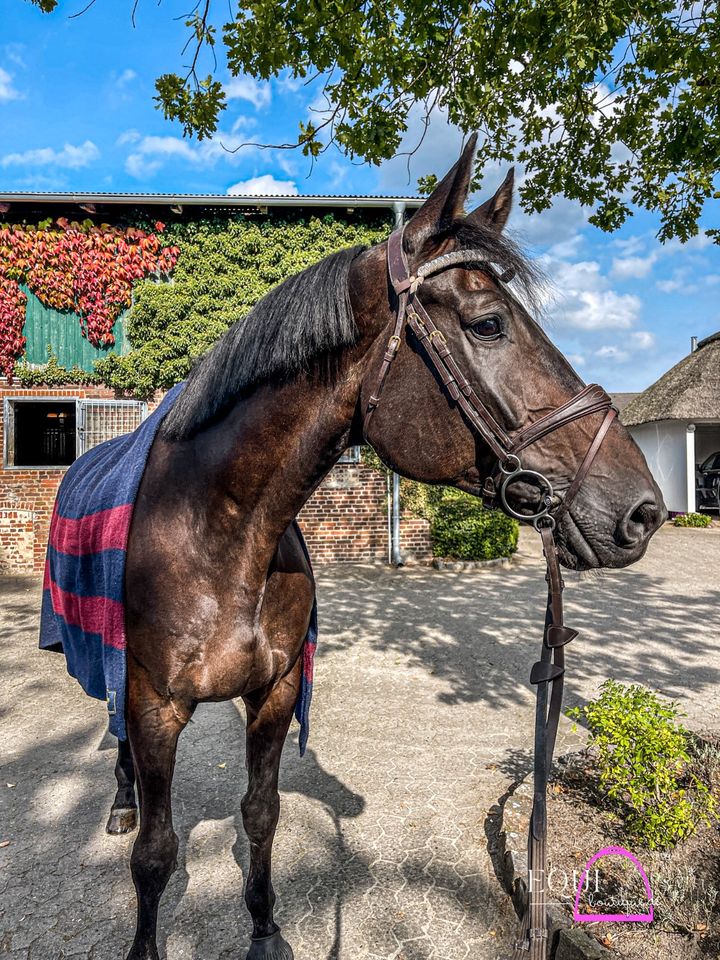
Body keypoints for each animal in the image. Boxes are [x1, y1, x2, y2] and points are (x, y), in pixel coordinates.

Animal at [98, 137, 668, 960]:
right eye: (489, 324)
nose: (643, 511)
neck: (217, 532)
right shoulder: (153, 705)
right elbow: (155, 853)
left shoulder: (274, 695)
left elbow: (261, 814)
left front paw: (265, 929)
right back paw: (118, 802)